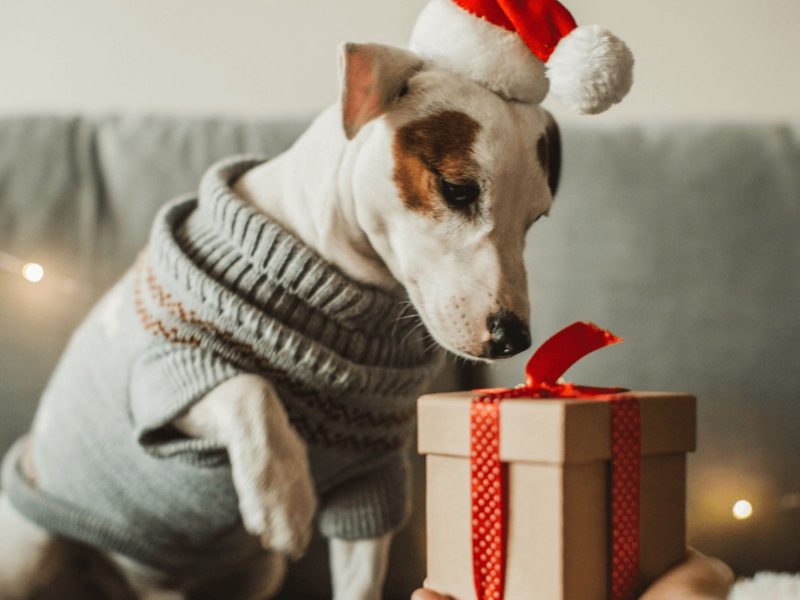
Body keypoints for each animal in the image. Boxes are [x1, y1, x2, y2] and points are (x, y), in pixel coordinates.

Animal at [0, 39, 564, 596]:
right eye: (457, 190)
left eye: (536, 218)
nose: (514, 337)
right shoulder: (159, 380)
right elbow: (249, 388)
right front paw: (284, 501)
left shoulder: (370, 480)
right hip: (31, 549)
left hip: (257, 574)